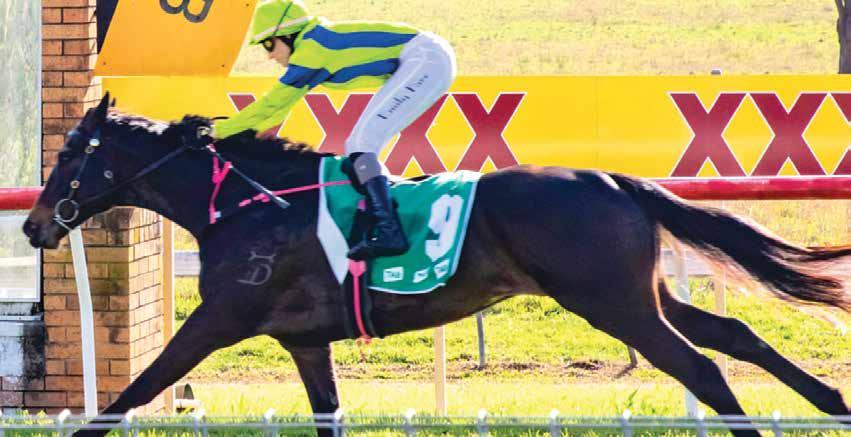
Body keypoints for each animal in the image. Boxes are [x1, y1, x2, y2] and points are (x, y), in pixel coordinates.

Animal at [23, 94, 851, 437]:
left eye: (69, 154)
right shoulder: (305, 340)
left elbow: (133, 391)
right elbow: (327, 412)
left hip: (611, 302)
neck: (243, 204)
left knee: (702, 368)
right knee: (733, 334)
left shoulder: (219, 317)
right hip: (634, 293)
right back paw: (831, 400)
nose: (32, 224)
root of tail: (616, 180)